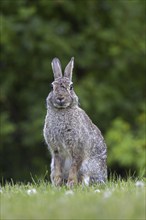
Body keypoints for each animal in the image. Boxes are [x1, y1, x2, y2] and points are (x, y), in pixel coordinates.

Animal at [43, 57, 107, 186]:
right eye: (52, 87)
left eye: (71, 87)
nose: (60, 97)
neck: (62, 110)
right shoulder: (56, 150)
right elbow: (58, 167)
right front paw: (57, 184)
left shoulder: (78, 148)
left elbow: (74, 166)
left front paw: (71, 184)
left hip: (88, 168)